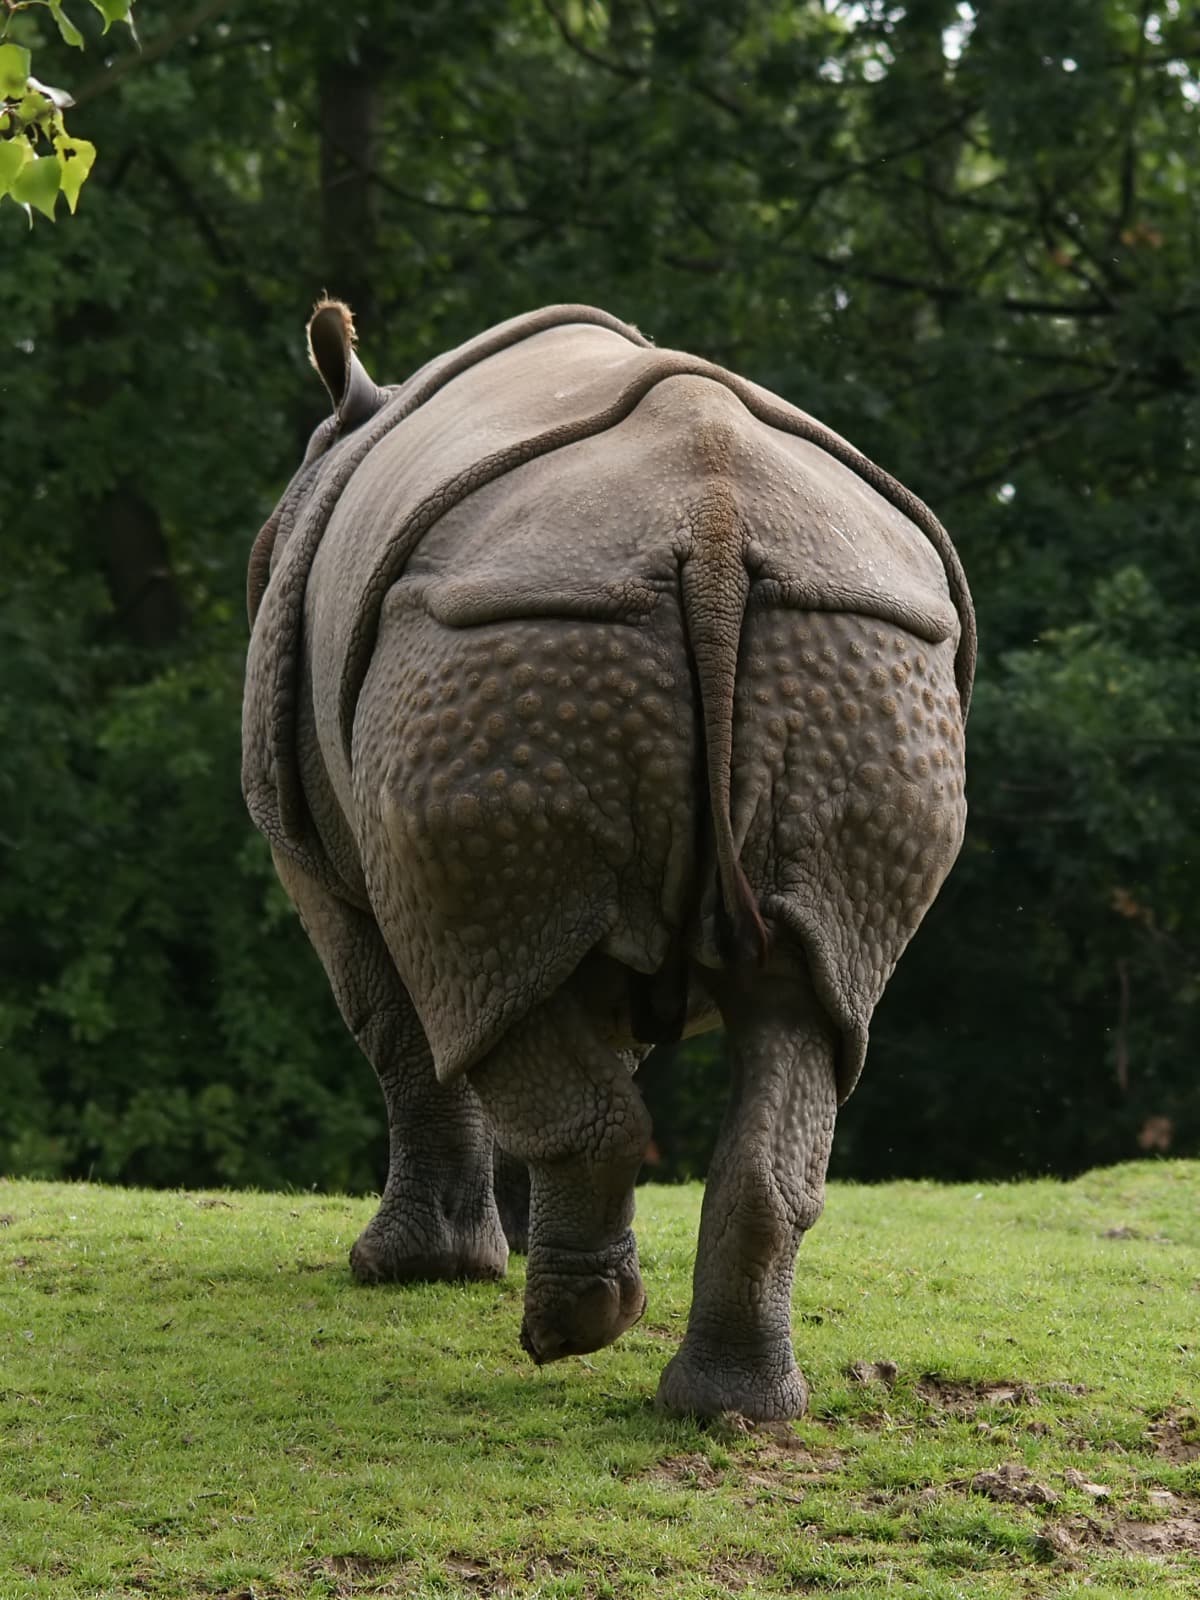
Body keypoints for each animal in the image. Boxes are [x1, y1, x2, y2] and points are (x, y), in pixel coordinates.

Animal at [242, 301, 973, 1420]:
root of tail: (715, 530)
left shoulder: (312, 857)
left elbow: (398, 1028)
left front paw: (407, 1274)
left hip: (498, 642)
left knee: (478, 1000)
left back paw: (567, 1334)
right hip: (856, 649)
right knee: (811, 1000)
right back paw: (727, 1406)